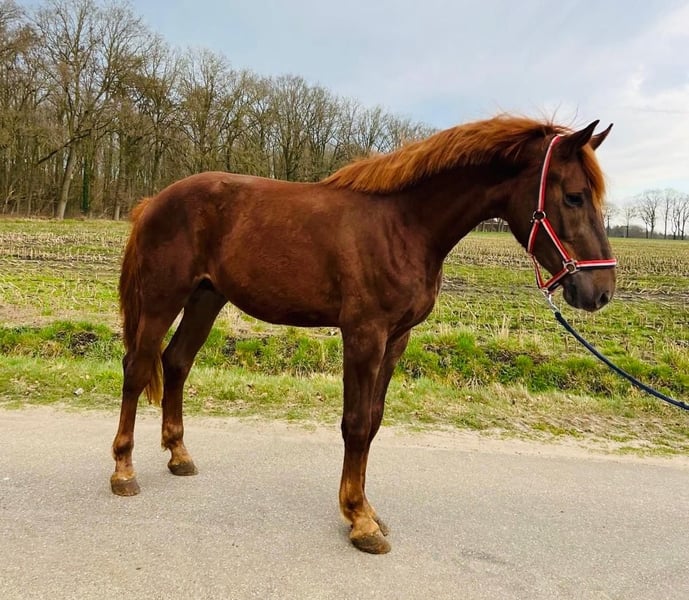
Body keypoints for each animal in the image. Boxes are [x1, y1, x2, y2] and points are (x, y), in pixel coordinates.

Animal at [110, 115, 616, 554]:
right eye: (574, 196)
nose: (601, 290)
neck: (404, 224)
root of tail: (153, 203)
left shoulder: (396, 339)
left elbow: (372, 421)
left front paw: (368, 510)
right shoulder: (364, 335)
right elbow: (354, 424)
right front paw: (358, 520)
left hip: (205, 298)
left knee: (176, 363)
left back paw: (179, 455)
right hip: (162, 299)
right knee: (136, 369)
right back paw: (123, 470)